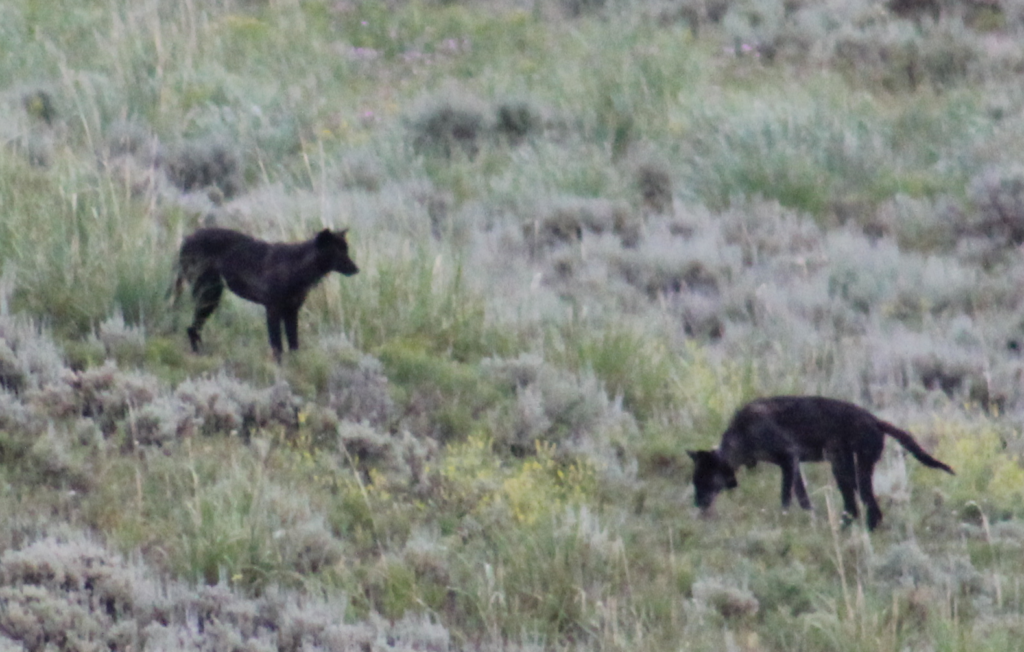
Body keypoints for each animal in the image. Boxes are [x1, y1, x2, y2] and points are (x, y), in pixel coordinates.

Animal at [172, 227, 356, 360]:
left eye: (346, 249)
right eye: (338, 251)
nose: (356, 269)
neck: (297, 267)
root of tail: (186, 240)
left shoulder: (291, 311)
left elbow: (293, 342)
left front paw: (296, 364)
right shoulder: (273, 309)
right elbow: (277, 344)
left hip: (210, 297)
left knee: (193, 329)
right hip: (209, 297)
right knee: (191, 328)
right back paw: (199, 354)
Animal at [688, 397, 950, 528]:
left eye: (705, 480)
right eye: (695, 481)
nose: (698, 505)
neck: (742, 434)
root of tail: (876, 420)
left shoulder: (788, 458)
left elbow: (787, 497)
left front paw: (785, 519)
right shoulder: (793, 465)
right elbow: (802, 497)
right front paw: (809, 518)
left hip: (850, 470)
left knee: (866, 507)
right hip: (844, 468)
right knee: (859, 507)